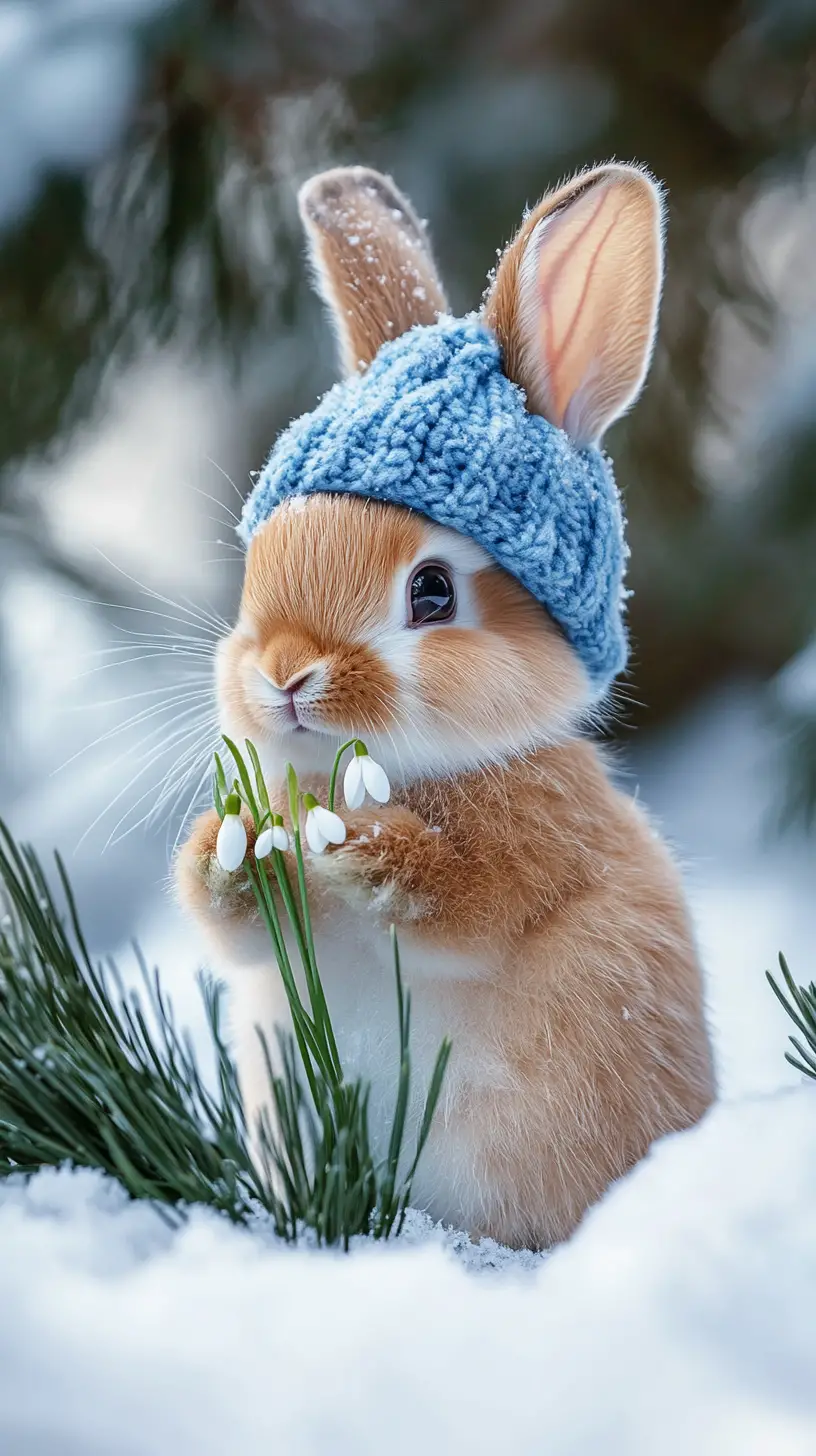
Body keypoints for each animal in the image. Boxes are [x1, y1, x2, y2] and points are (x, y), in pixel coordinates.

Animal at [175, 162, 715, 1250]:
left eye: (432, 592)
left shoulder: (536, 846)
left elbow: (465, 901)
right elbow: (231, 923)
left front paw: (359, 845)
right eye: (262, 563)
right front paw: (232, 844)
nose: (284, 673)